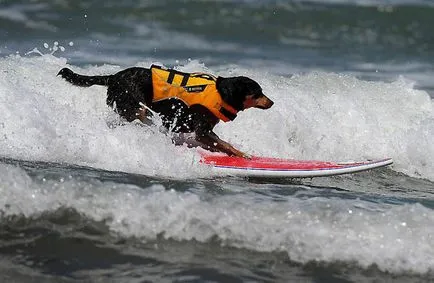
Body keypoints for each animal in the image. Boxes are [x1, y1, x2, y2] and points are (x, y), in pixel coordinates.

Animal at [57, 65, 272, 158]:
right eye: (258, 92)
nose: (272, 102)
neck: (222, 92)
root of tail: (112, 77)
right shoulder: (201, 131)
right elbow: (225, 144)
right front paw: (243, 154)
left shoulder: (198, 131)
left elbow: (218, 144)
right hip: (132, 106)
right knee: (142, 115)